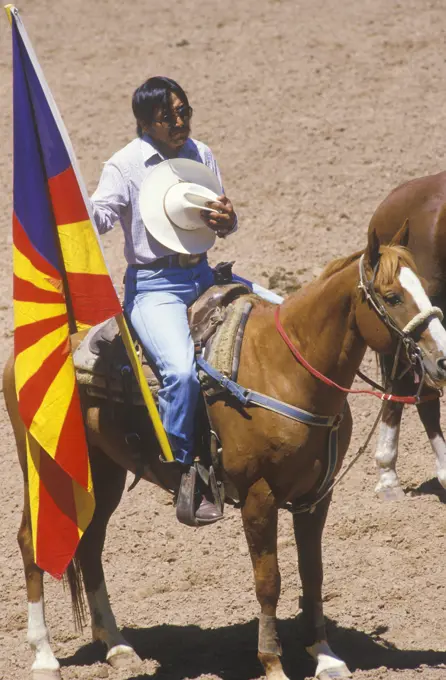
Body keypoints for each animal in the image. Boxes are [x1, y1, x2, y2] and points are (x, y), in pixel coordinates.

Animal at [3, 227, 446, 680]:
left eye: (425, 289)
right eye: (392, 296)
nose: (442, 361)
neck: (287, 370)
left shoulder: (315, 498)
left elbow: (313, 573)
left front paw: (325, 655)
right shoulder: (259, 496)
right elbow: (269, 581)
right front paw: (272, 662)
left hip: (104, 472)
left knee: (91, 544)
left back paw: (118, 646)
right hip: (43, 467)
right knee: (31, 543)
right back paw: (44, 655)